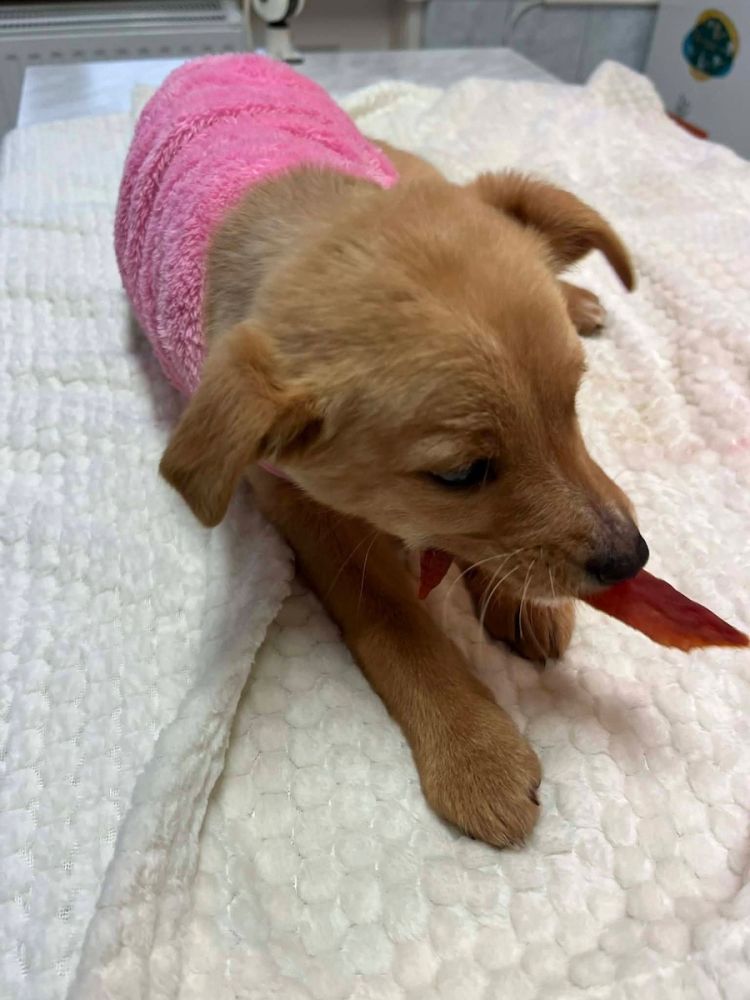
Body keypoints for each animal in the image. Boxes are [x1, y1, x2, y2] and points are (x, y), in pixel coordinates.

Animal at [126, 57, 649, 847]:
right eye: (460, 473)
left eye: (573, 404)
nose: (631, 561)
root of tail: (209, 61)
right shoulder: (298, 501)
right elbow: (394, 615)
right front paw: (475, 750)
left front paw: (515, 600)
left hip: (424, 170)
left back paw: (579, 298)